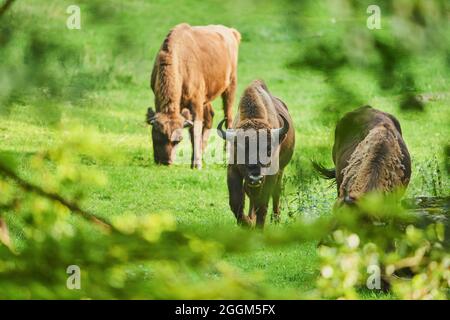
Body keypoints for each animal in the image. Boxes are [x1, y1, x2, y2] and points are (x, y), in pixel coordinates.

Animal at [147, 22, 239, 169]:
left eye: (178, 140)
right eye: (155, 137)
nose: (165, 162)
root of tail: (231, 32)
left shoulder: (195, 102)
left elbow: (195, 129)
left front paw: (196, 164)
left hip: (230, 86)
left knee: (229, 118)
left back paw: (227, 156)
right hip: (207, 98)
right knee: (210, 116)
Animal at [218, 80, 296, 230]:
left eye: (268, 150)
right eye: (240, 149)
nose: (255, 178)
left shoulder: (270, 175)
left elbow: (263, 203)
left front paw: (258, 227)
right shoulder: (233, 169)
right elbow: (236, 202)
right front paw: (248, 223)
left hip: (280, 171)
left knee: (276, 192)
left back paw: (275, 219)